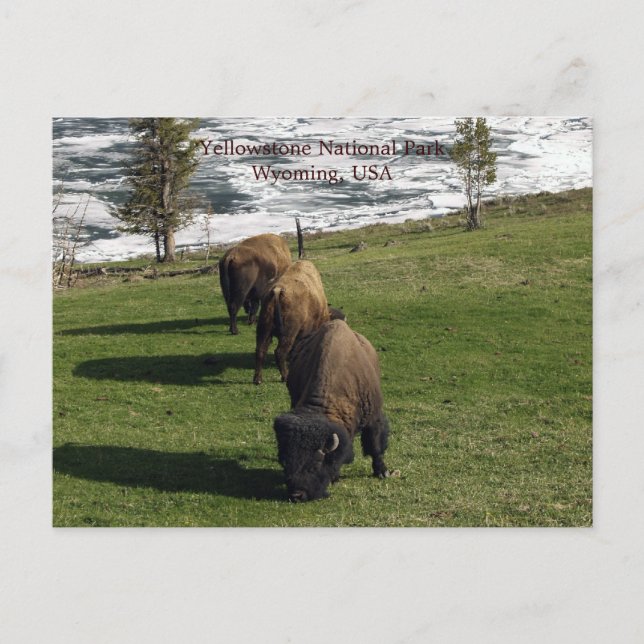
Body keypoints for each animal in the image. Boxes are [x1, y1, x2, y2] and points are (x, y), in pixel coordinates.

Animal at [273, 319, 391, 502]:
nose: (297, 495)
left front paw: (383, 472)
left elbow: (375, 446)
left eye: (315, 464)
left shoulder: (374, 418)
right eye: (285, 462)